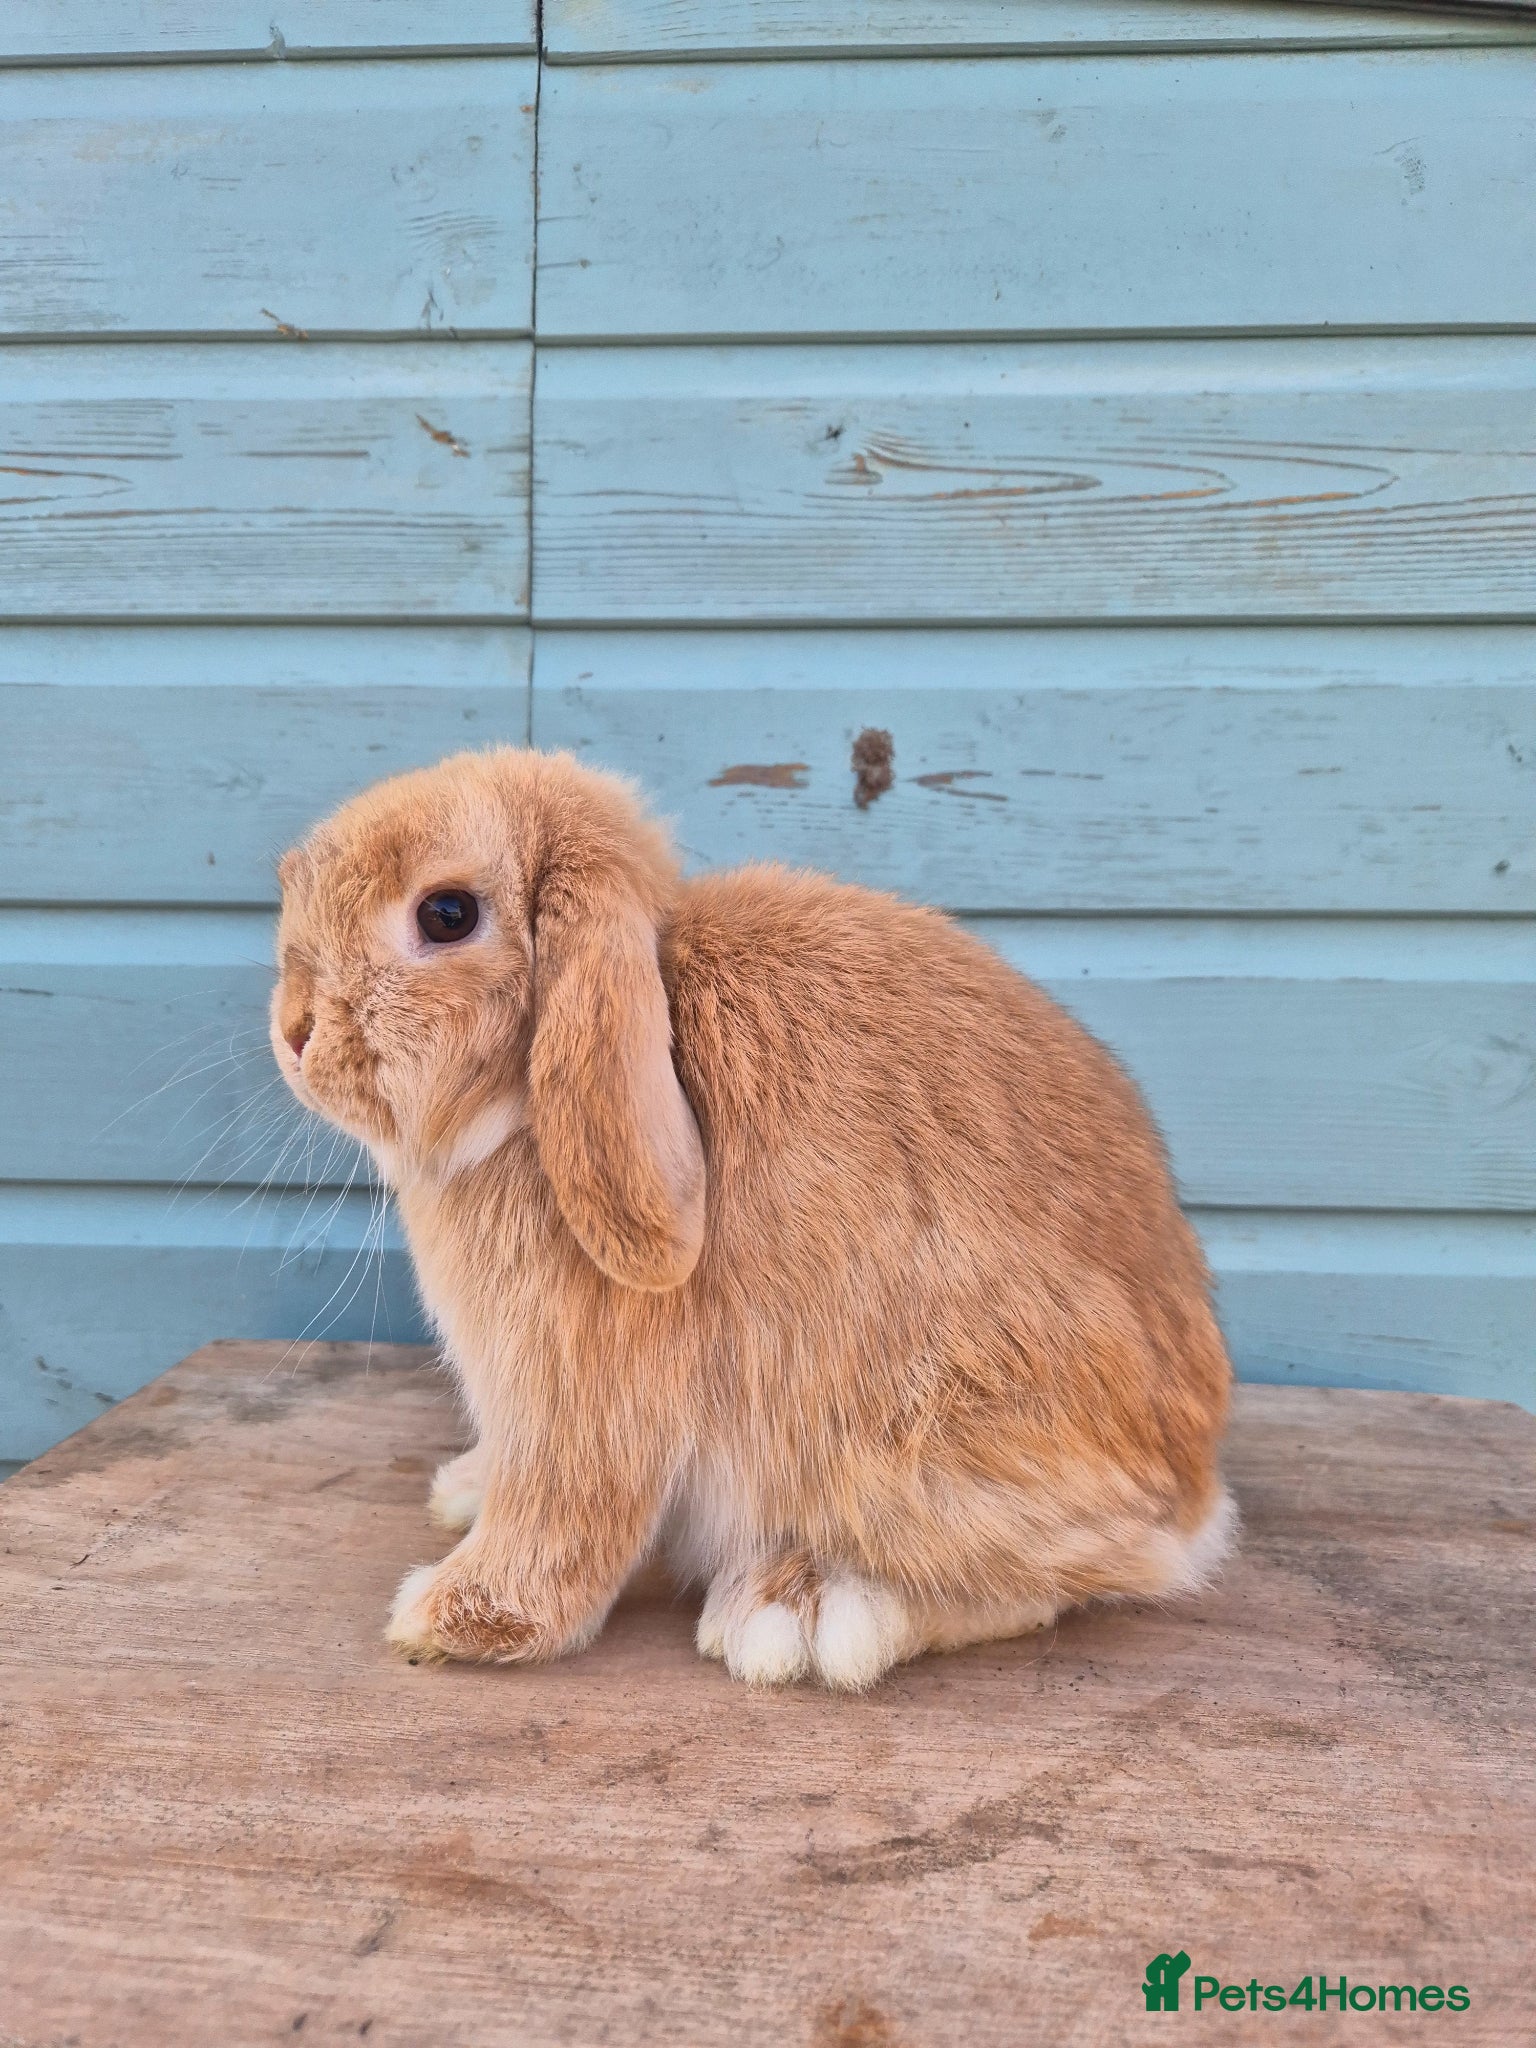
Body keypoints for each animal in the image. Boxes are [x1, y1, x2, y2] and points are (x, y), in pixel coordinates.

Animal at [270, 746, 1234, 1690]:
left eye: (446, 914)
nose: (294, 1031)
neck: (527, 1096)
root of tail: (1191, 1496)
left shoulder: (584, 1393)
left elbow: (564, 1517)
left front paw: (445, 1617)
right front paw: (465, 1497)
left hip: (909, 1446)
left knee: (1053, 1580)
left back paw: (801, 1609)